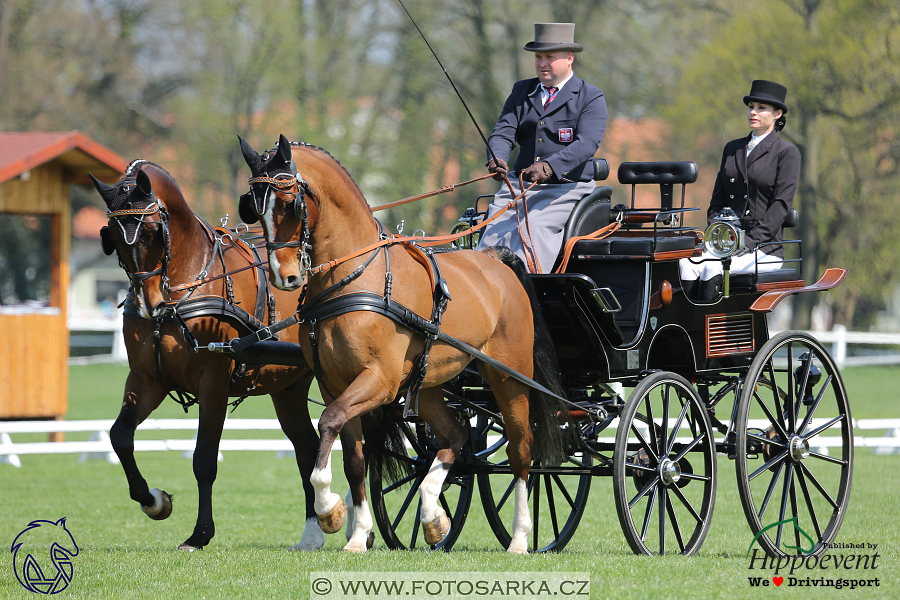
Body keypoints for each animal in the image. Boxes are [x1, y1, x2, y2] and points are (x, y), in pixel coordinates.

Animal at [91, 161, 372, 552]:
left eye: (151, 232)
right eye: (113, 239)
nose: (150, 305)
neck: (186, 286)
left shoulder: (214, 383)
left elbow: (204, 460)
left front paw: (199, 534)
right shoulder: (147, 379)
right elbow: (120, 436)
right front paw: (155, 502)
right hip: (289, 389)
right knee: (306, 449)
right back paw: (314, 531)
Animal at [237, 135, 564, 552]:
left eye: (290, 202)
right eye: (253, 207)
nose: (285, 277)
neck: (355, 279)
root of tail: (494, 258)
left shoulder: (380, 380)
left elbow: (328, 425)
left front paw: (330, 510)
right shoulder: (334, 384)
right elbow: (354, 459)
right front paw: (358, 532)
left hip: (510, 378)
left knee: (521, 450)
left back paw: (520, 538)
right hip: (428, 384)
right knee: (455, 434)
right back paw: (433, 516)